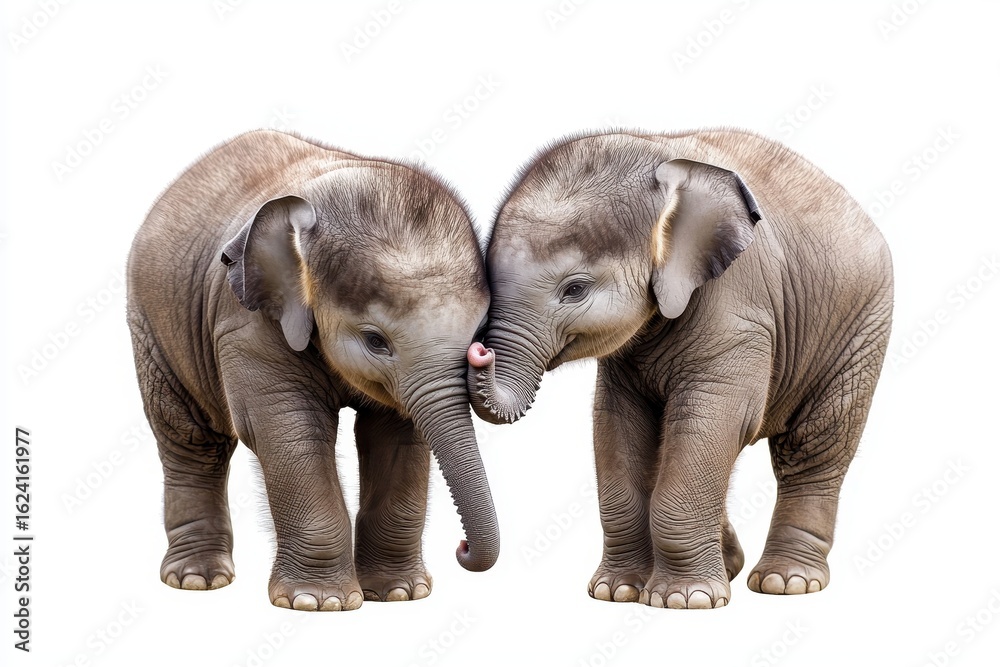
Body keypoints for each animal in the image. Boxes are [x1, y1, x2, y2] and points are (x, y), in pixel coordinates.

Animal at [127, 129, 498, 611]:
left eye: (478, 331)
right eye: (375, 341)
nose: (463, 548)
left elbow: (396, 435)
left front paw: (399, 594)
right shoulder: (245, 322)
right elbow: (286, 427)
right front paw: (318, 603)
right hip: (152, 325)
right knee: (192, 438)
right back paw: (197, 580)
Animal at [467, 129, 893, 609]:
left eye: (574, 289)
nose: (476, 351)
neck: (657, 153)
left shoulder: (738, 308)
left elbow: (717, 418)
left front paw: (686, 600)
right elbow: (617, 424)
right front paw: (617, 592)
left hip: (860, 328)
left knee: (812, 445)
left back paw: (785, 582)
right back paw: (733, 565)